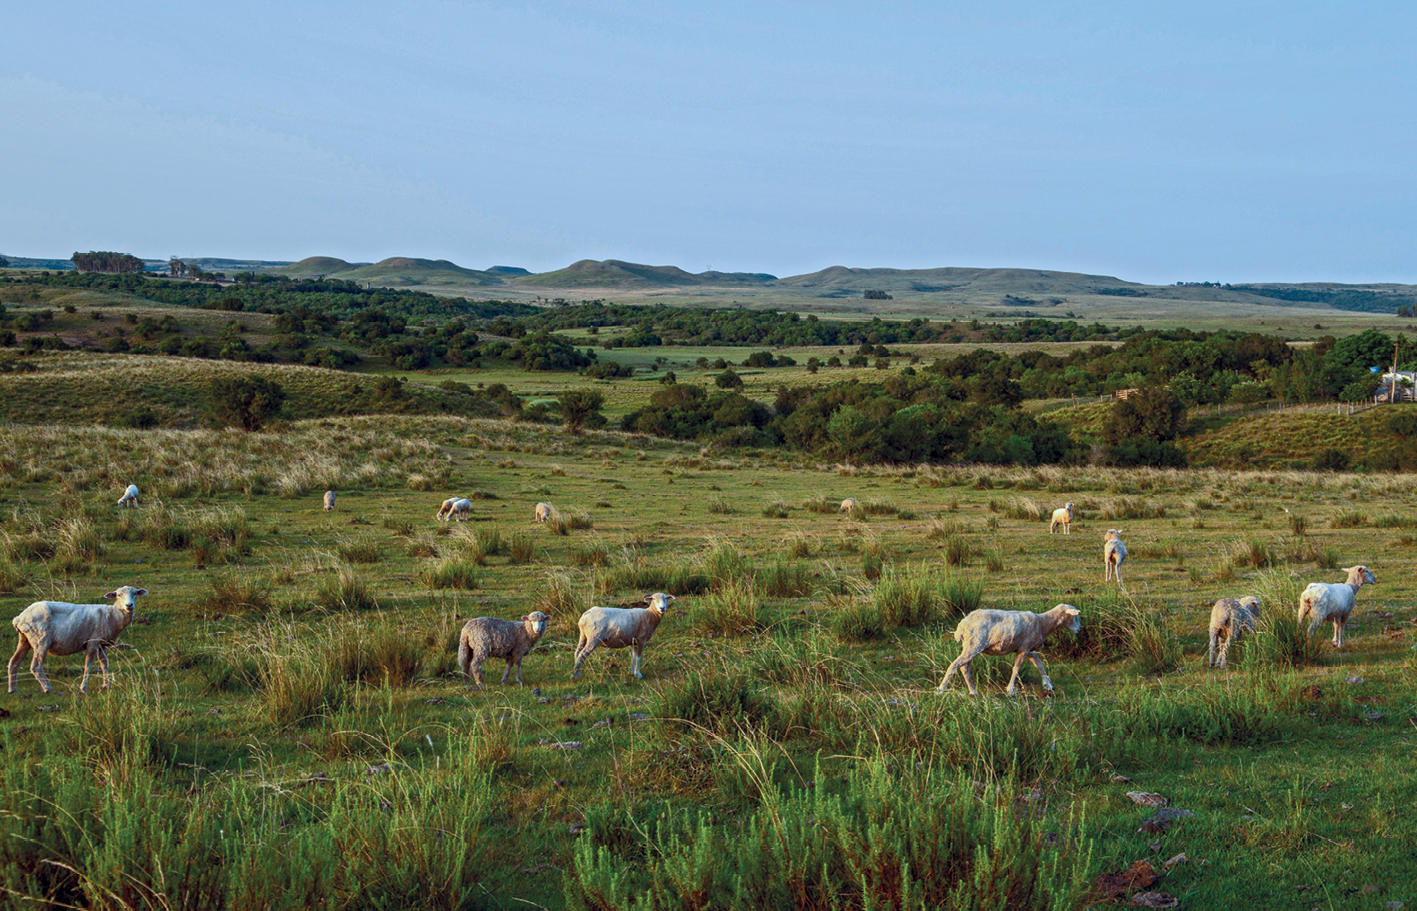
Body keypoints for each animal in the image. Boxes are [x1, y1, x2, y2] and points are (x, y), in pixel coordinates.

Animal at [8, 589, 147, 694]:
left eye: (135, 593)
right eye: (119, 594)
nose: (129, 605)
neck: (112, 614)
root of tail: (19, 618)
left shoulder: (102, 644)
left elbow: (104, 665)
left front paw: (107, 686)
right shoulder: (93, 641)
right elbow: (88, 665)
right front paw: (84, 688)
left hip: (24, 639)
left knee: (14, 662)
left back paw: (12, 689)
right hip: (40, 640)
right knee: (36, 666)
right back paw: (48, 688)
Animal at [935, 606, 1076, 699]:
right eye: (1075, 617)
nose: (1079, 629)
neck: (1043, 622)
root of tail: (962, 624)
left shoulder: (1027, 648)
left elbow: (1039, 664)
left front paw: (1048, 685)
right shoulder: (1025, 648)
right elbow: (1016, 669)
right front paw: (1010, 690)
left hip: (969, 645)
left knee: (964, 668)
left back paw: (973, 691)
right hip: (974, 645)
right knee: (955, 665)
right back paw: (941, 689)